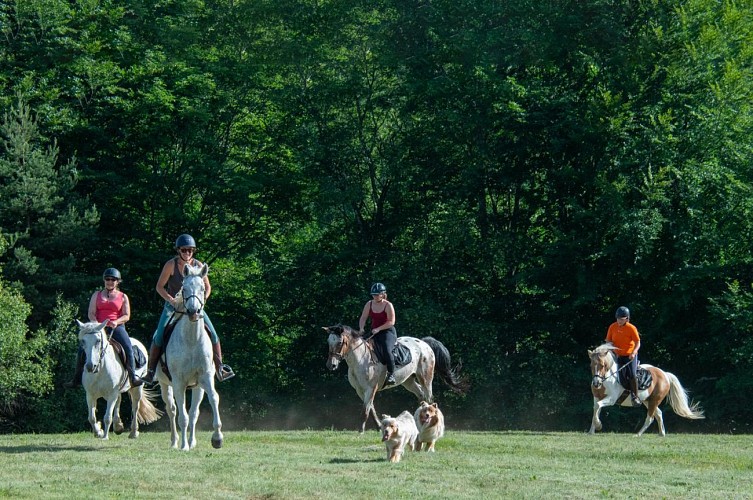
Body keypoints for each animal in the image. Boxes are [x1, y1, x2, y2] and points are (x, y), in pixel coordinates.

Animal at [153, 264, 222, 452]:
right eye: (184, 289)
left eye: (203, 288)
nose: (193, 312)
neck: (192, 340)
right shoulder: (179, 382)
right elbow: (182, 416)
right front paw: (183, 446)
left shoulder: (206, 377)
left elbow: (213, 399)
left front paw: (217, 438)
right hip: (165, 385)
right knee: (172, 410)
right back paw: (175, 442)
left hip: (197, 387)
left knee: (193, 413)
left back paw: (192, 442)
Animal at [324, 322, 468, 432]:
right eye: (328, 342)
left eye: (340, 342)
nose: (331, 365)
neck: (360, 359)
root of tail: (424, 343)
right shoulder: (360, 390)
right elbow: (371, 409)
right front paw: (378, 427)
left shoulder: (371, 388)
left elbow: (366, 410)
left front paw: (361, 431)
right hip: (408, 381)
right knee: (421, 395)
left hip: (426, 378)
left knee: (428, 398)